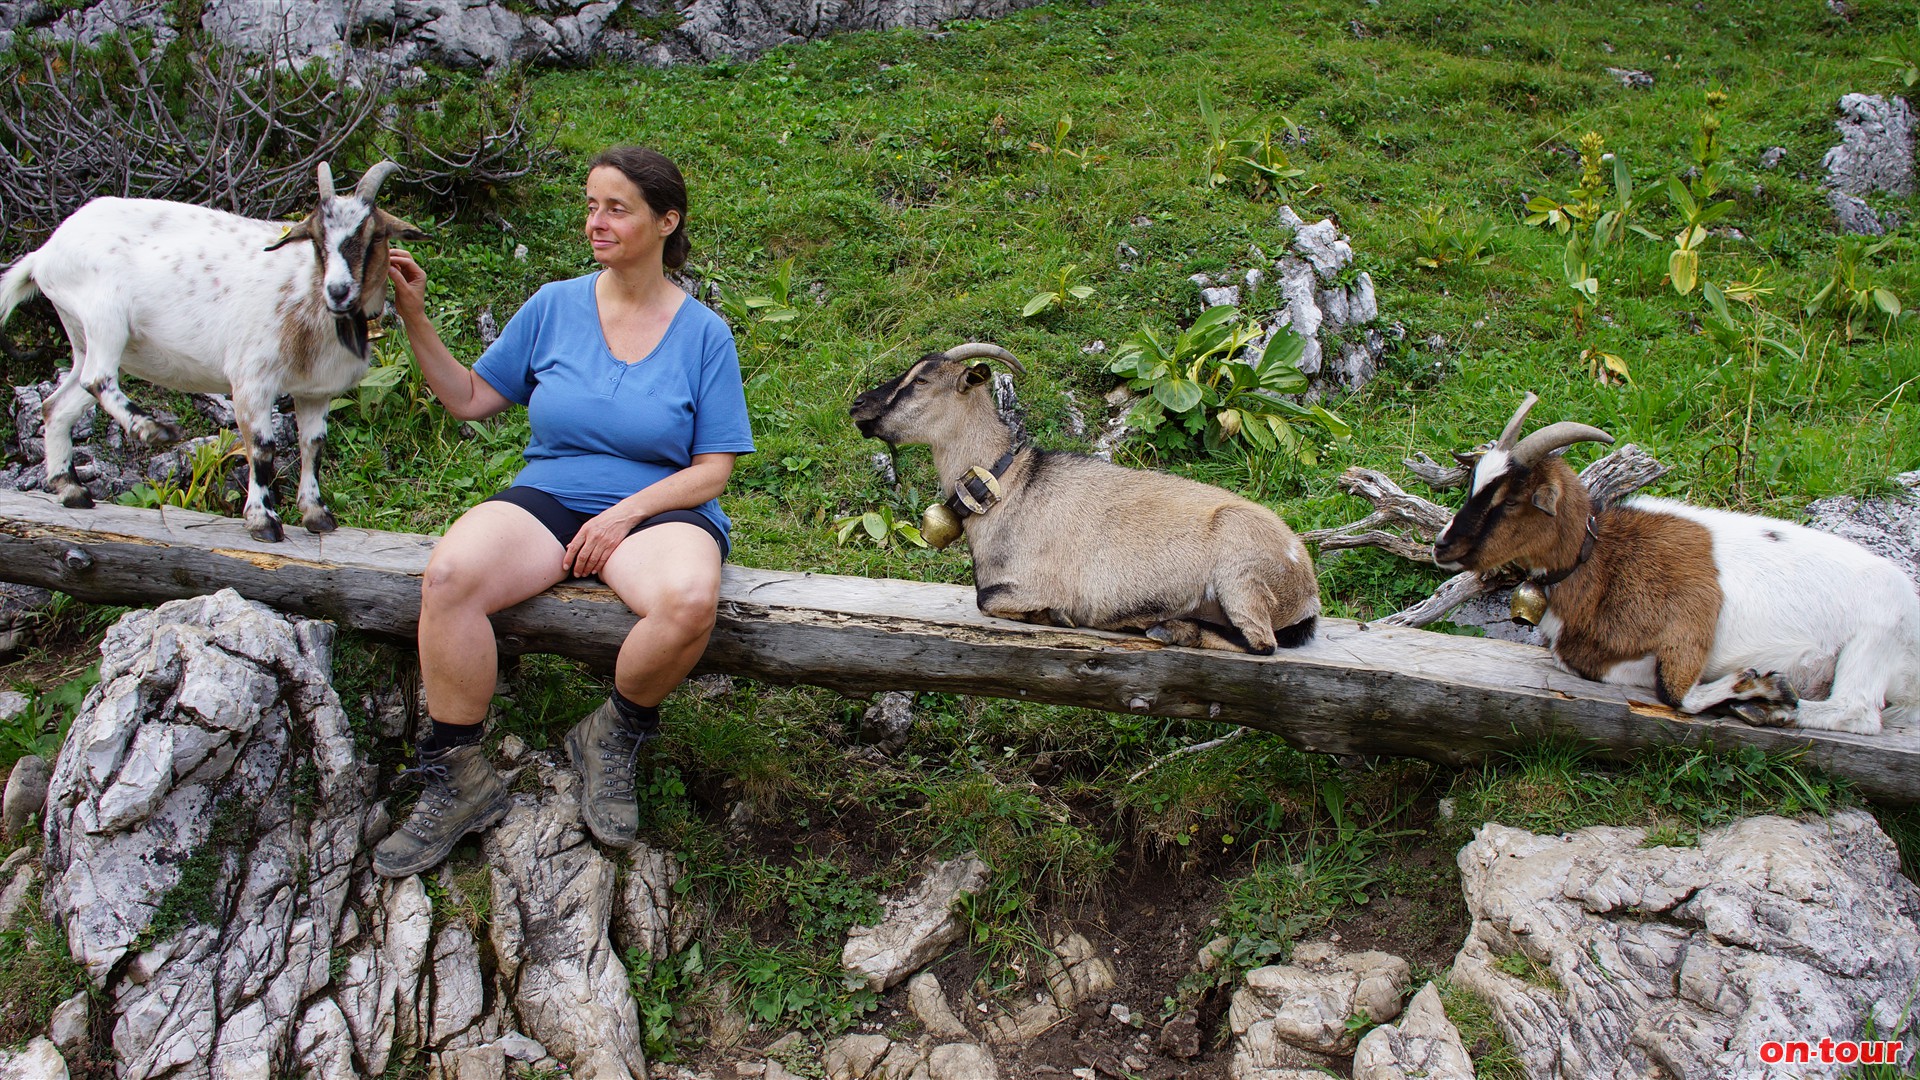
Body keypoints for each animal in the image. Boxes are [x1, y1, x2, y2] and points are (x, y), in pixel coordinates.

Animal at [852, 342, 1320, 645]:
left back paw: (1164, 626)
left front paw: (1053, 615)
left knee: (1261, 642)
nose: (858, 405)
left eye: (921, 380)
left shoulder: (1038, 582)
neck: (1012, 488)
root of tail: (1306, 584)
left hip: (1241, 577)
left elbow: (987, 599)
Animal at [1443, 395, 1920, 730]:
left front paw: (1757, 683)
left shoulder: (1694, 611)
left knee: (1857, 711)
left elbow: (1675, 693)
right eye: (1474, 485)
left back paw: (1770, 711)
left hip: (1874, 639)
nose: (1443, 546)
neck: (1602, 561)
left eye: (1512, 501)